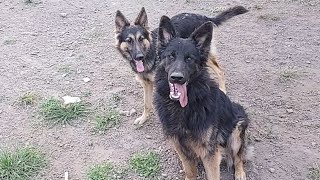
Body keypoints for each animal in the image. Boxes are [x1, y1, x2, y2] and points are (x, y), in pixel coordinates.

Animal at [154, 15, 250, 180]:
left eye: (189, 59)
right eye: (171, 56)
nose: (176, 78)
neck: (182, 107)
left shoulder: (209, 152)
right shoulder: (179, 145)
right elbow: (190, 171)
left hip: (237, 128)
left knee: (238, 157)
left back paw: (240, 173)